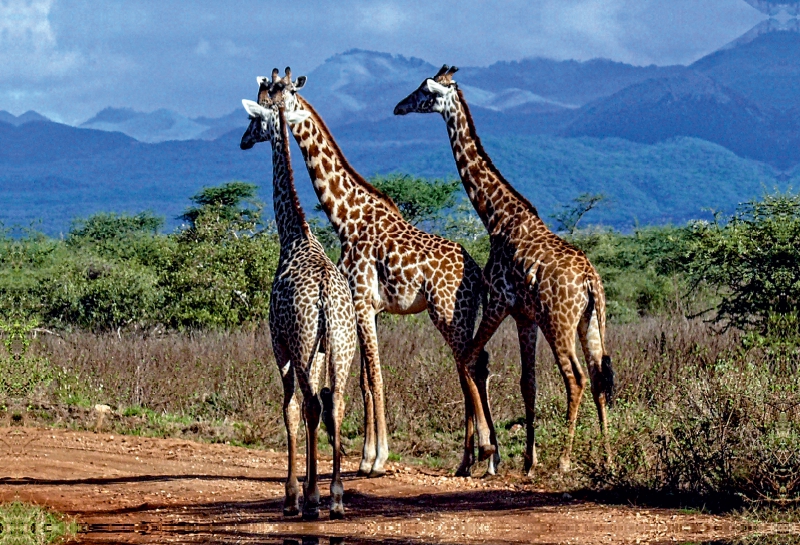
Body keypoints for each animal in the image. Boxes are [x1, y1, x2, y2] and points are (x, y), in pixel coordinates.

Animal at [238, 77, 356, 520]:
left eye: (254, 119)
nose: (242, 141)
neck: (293, 235)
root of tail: (324, 296)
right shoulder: (319, 352)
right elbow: (313, 411)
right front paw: (309, 487)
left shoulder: (281, 345)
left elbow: (289, 410)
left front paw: (293, 494)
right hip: (342, 346)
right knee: (334, 403)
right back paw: (336, 495)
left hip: (303, 344)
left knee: (309, 405)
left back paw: (314, 499)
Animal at [266, 67, 496, 476]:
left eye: (282, 90)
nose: (265, 105)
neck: (346, 215)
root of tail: (476, 273)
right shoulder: (370, 308)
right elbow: (363, 379)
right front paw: (365, 456)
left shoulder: (360, 301)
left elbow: (373, 376)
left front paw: (376, 459)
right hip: (463, 314)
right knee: (476, 362)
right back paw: (477, 460)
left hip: (446, 313)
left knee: (469, 362)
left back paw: (483, 450)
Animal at [396, 65, 616, 472]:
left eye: (423, 92)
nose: (398, 107)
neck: (497, 217)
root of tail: (590, 280)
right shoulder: (524, 316)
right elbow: (527, 384)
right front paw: (528, 460)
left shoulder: (499, 301)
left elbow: (470, 359)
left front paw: (482, 455)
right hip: (592, 322)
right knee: (598, 377)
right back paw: (608, 457)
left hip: (559, 323)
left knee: (576, 378)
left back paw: (564, 461)